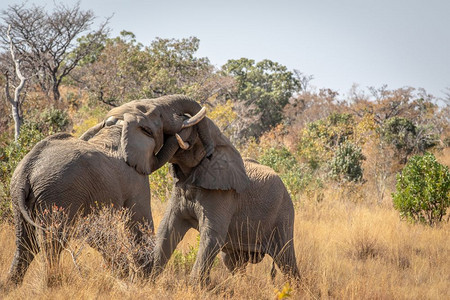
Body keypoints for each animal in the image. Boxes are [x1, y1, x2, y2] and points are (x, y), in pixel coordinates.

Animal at [153, 117, 300, 284]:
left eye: (194, 132)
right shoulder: (179, 191)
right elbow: (167, 227)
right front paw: (146, 277)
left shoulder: (224, 195)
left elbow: (212, 235)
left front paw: (194, 286)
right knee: (233, 262)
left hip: (283, 214)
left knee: (286, 259)